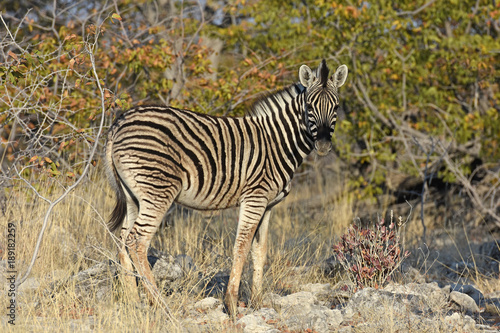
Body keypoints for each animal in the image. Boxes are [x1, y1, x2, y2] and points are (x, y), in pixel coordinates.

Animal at [104, 59, 348, 314]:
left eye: (336, 107)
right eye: (309, 107)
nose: (323, 146)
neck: (277, 143)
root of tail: (119, 122)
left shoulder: (268, 206)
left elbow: (259, 252)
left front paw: (257, 301)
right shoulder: (255, 198)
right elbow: (241, 247)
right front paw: (231, 303)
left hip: (133, 196)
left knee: (122, 239)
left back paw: (134, 301)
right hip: (157, 192)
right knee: (137, 240)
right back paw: (159, 302)